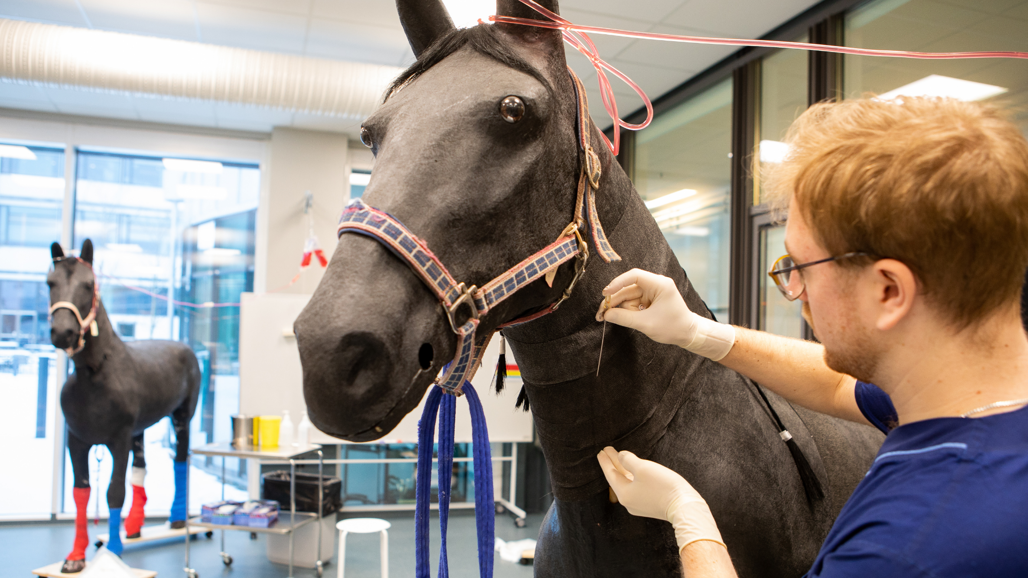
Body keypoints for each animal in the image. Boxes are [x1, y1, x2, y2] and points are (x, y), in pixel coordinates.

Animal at [48, 239, 200, 573]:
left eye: (88, 284)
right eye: (50, 282)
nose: (63, 332)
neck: (94, 372)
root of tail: (183, 345)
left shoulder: (117, 440)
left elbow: (114, 491)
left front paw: (113, 550)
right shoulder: (76, 441)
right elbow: (82, 492)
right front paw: (76, 556)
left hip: (182, 418)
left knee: (180, 460)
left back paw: (177, 519)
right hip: (138, 431)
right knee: (141, 468)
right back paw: (134, 525)